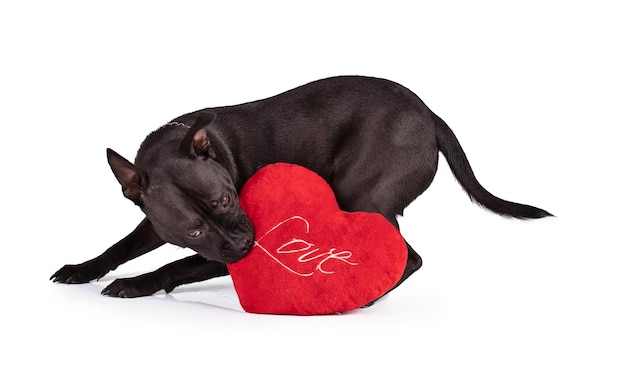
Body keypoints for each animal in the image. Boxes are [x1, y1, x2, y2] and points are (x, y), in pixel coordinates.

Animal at [51, 76, 548, 298]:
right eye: (193, 228)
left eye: (227, 199)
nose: (244, 243)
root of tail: (430, 115)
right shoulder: (156, 223)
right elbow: (119, 246)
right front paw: (82, 268)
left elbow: (177, 264)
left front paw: (136, 283)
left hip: (360, 197)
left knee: (407, 257)